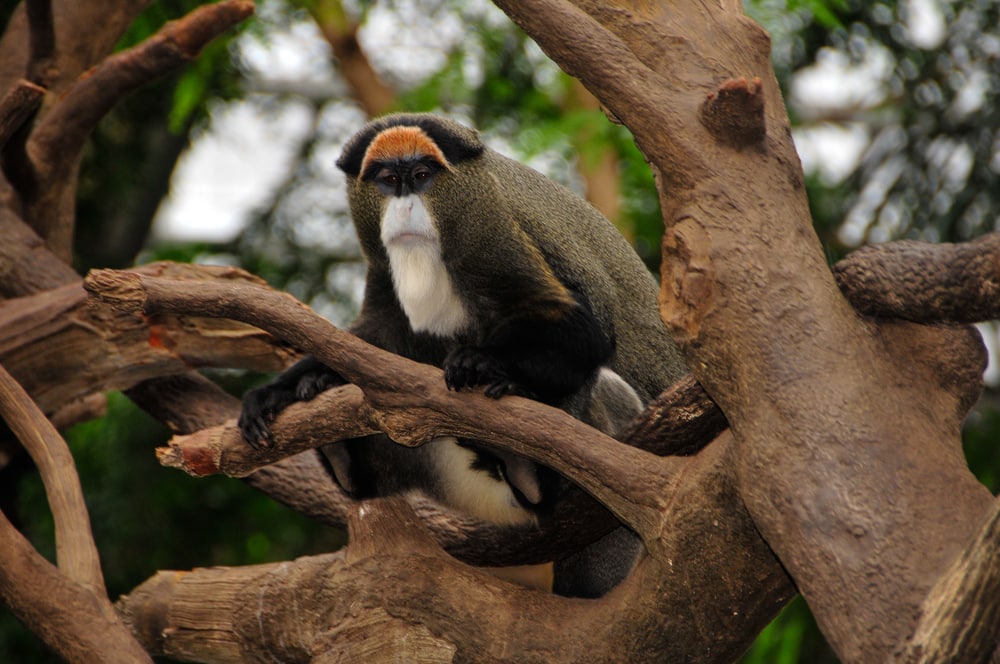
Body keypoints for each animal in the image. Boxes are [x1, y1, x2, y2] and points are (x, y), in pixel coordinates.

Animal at [239, 113, 688, 596]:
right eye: (387, 179)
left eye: (421, 176)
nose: (405, 206)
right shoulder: (382, 273)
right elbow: (374, 340)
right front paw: (284, 388)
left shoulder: (498, 238)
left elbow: (588, 333)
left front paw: (483, 363)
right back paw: (343, 455)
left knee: (601, 386)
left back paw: (531, 477)